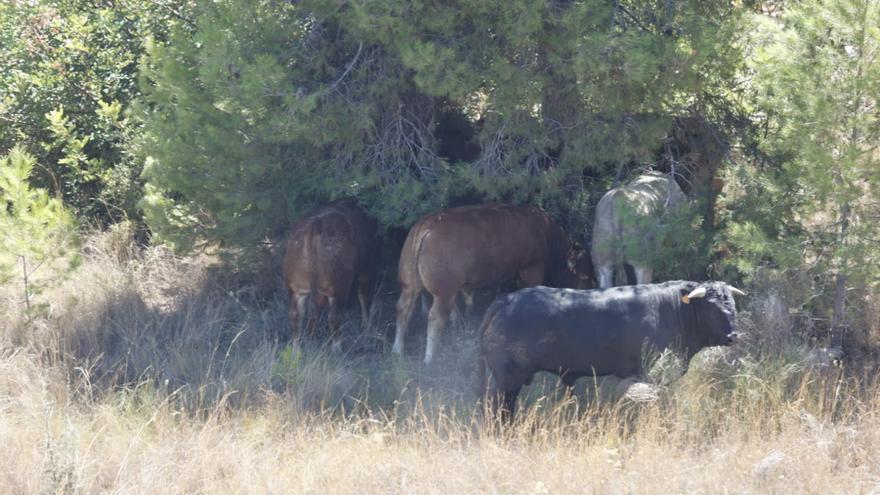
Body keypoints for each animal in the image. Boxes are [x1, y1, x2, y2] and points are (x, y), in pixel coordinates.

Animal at [282, 200, 378, 350]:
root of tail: (315, 226)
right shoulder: (368, 270)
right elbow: (364, 297)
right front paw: (366, 326)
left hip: (296, 287)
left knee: (296, 315)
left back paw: (296, 348)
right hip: (338, 286)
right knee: (333, 316)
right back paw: (337, 347)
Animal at [394, 203, 596, 366]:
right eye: (584, 276)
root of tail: (426, 226)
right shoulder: (532, 270)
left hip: (409, 286)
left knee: (403, 309)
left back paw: (397, 351)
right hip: (445, 293)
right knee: (435, 318)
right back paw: (430, 359)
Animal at [482, 280, 744, 420]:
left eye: (732, 305)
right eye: (712, 309)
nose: (733, 337)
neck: (675, 310)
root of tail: (504, 301)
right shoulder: (650, 373)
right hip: (507, 380)